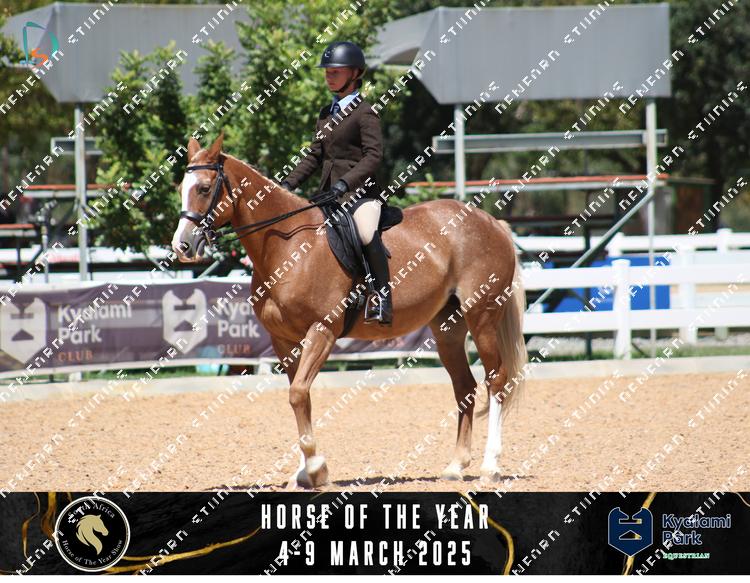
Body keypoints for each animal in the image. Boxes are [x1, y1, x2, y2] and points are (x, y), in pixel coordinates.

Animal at [171, 133, 527, 488]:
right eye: (180, 187)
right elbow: (299, 396)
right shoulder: (284, 341)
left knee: (497, 380)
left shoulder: (322, 331)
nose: (182, 246)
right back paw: (456, 465)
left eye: (204, 188)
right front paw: (303, 473)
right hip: (448, 327)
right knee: (465, 386)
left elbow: (298, 394)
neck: (288, 247)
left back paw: (489, 467)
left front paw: (316, 468)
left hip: (482, 316)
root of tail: (491, 222)